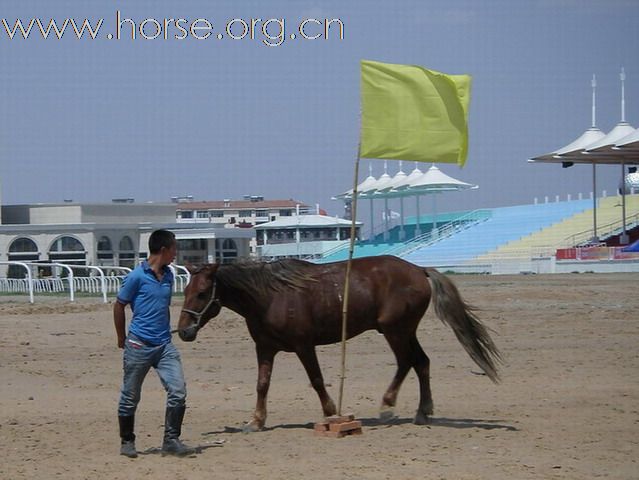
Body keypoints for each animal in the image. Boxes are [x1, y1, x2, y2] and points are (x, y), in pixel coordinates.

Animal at [178, 255, 502, 432]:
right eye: (187, 289)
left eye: (203, 292)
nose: (183, 332)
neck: (270, 296)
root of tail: (419, 269)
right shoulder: (265, 348)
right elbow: (262, 385)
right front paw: (256, 422)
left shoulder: (304, 346)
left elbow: (317, 380)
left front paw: (331, 411)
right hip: (405, 331)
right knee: (421, 362)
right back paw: (422, 412)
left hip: (395, 331)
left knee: (406, 362)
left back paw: (388, 405)